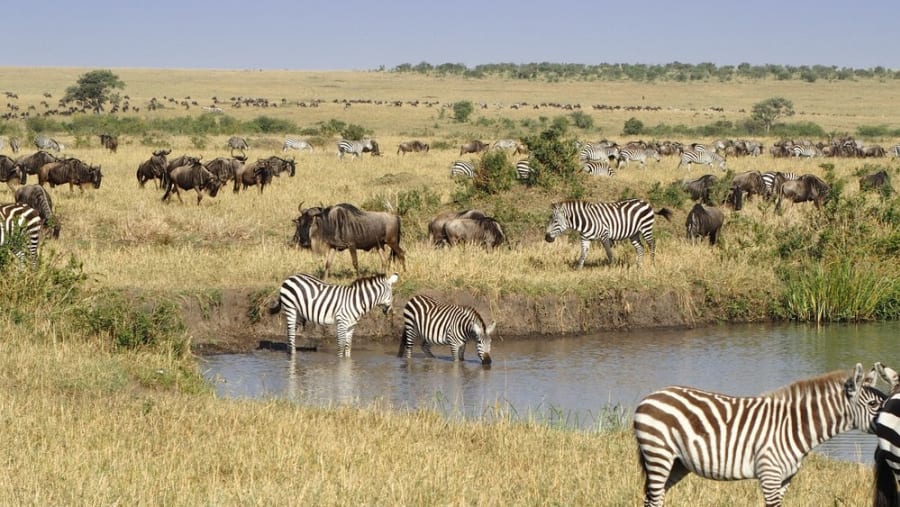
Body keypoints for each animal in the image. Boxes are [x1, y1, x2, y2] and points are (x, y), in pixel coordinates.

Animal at [267, 272, 399, 357]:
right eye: (391, 294)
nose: (389, 311)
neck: (356, 301)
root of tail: (290, 277)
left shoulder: (351, 326)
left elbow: (348, 346)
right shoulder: (342, 323)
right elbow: (341, 346)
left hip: (299, 313)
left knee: (291, 334)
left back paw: (290, 351)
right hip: (291, 309)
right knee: (290, 334)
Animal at [544, 199, 672, 269]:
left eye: (555, 221)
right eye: (549, 220)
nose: (547, 238)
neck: (586, 221)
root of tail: (646, 203)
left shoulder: (604, 236)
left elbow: (609, 253)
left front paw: (612, 268)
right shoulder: (585, 239)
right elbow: (583, 254)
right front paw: (578, 269)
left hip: (646, 228)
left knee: (652, 244)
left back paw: (652, 264)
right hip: (634, 233)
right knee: (640, 248)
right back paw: (638, 266)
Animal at [633, 363, 885, 507]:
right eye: (873, 404)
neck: (794, 425)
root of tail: (650, 396)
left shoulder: (784, 479)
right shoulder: (769, 475)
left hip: (677, 464)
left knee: (653, 499)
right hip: (658, 455)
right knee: (653, 499)